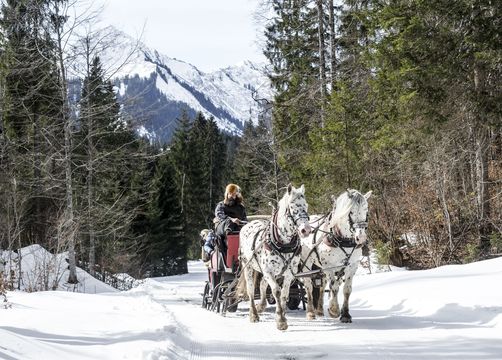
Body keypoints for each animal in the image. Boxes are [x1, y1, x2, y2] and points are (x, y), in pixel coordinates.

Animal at [237, 184, 312, 330]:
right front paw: (281, 320)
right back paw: (253, 314)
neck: (284, 244)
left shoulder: (288, 273)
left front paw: (282, 316)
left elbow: (284, 294)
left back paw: (261, 306)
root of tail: (247, 224)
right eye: (292, 206)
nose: (306, 230)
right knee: (250, 290)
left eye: (306, 205)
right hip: (248, 266)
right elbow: (276, 291)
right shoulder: (269, 271)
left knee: (262, 284)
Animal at [298, 190, 372, 322]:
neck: (343, 239)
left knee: (322, 286)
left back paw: (319, 310)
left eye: (366, 210)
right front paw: (334, 310)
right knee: (309, 286)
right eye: (350, 211)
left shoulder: (352, 265)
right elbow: (334, 287)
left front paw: (345, 314)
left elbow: (347, 289)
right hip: (307, 263)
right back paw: (311, 312)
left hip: (320, 267)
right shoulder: (330, 266)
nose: (361, 238)